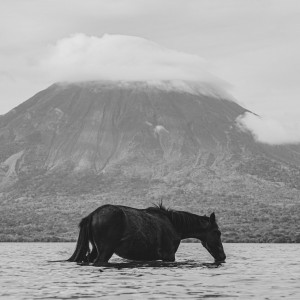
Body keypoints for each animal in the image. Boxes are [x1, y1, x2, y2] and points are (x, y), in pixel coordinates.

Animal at [67, 204, 225, 264]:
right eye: (217, 232)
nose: (223, 256)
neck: (174, 225)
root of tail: (92, 215)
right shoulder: (169, 256)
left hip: (95, 249)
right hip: (105, 251)